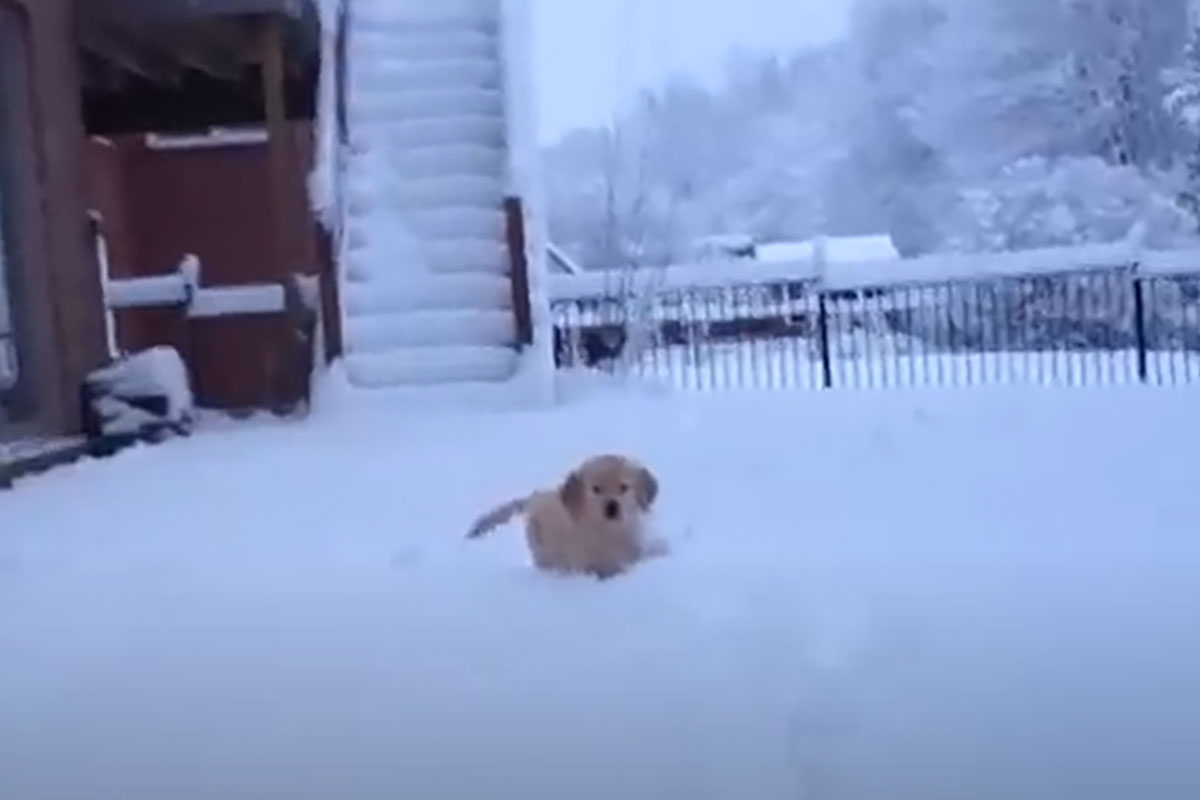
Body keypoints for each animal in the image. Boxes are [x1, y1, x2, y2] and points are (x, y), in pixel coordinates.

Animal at [465, 453, 667, 578]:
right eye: (596, 489)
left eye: (624, 487)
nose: (612, 506)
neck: (609, 533)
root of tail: (537, 496)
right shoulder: (590, 564)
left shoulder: (633, 548)